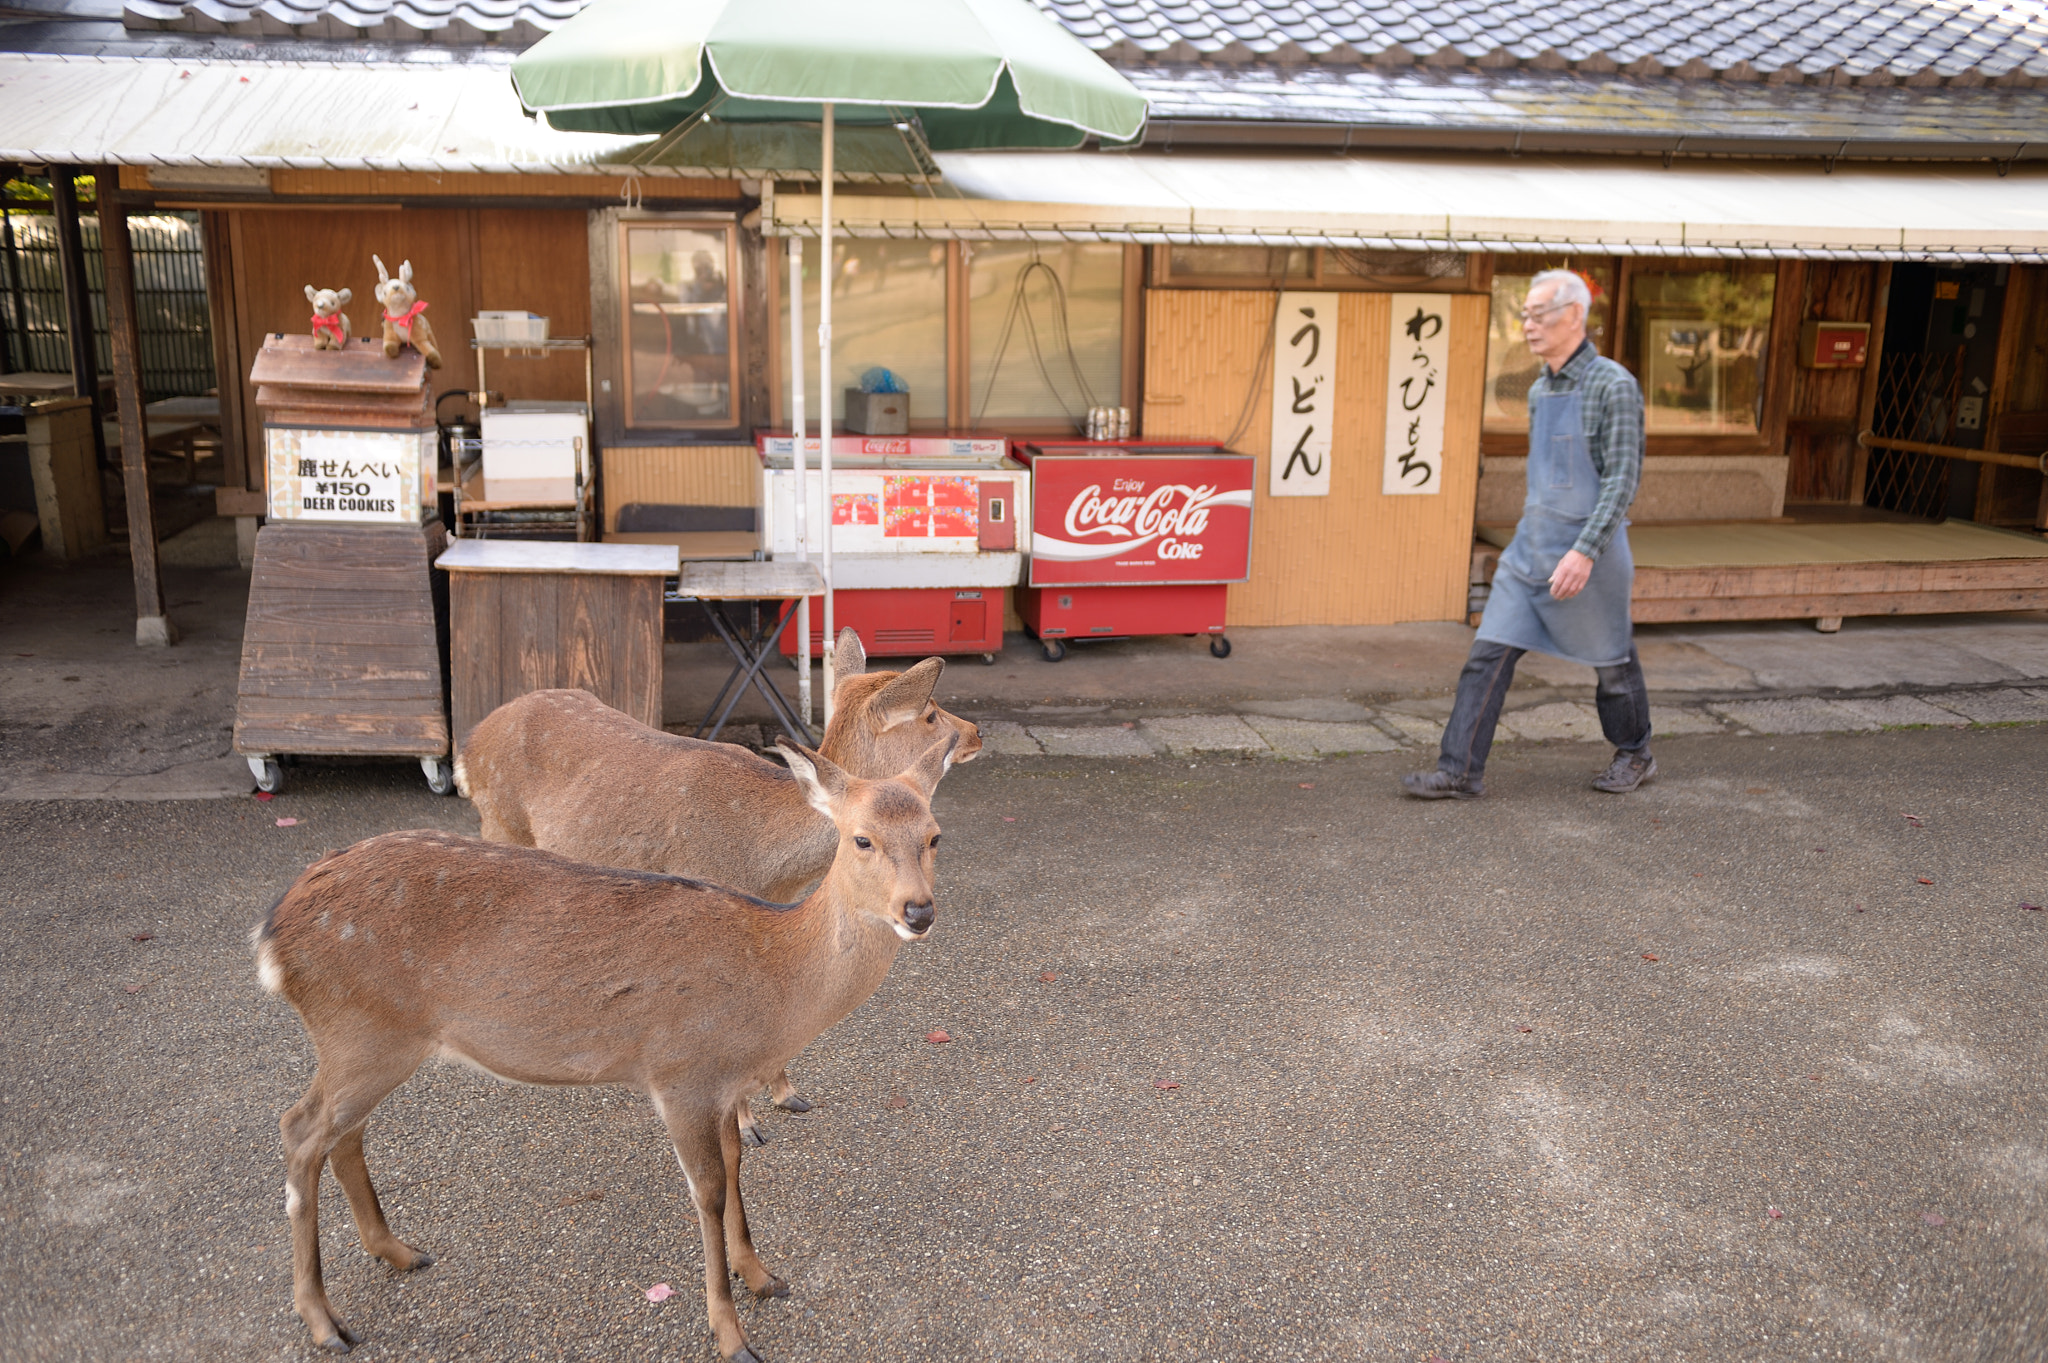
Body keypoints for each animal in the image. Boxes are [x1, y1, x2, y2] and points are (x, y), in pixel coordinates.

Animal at [255, 735, 953, 1361]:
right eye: (861, 838)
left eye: (934, 835)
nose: (918, 911)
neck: (775, 984)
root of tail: (271, 936)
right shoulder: (680, 1071)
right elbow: (707, 1191)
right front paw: (730, 1336)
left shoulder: (723, 1084)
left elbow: (735, 1167)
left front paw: (762, 1276)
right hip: (360, 1030)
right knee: (299, 1130)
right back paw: (323, 1320)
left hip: (371, 1043)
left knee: (341, 1134)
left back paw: (398, 1251)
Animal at [455, 628, 979, 1140]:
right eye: (930, 712)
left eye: (932, 837)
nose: (976, 732)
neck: (767, 863)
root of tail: (469, 745)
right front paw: (747, 1124)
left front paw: (788, 1095)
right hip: (499, 822)